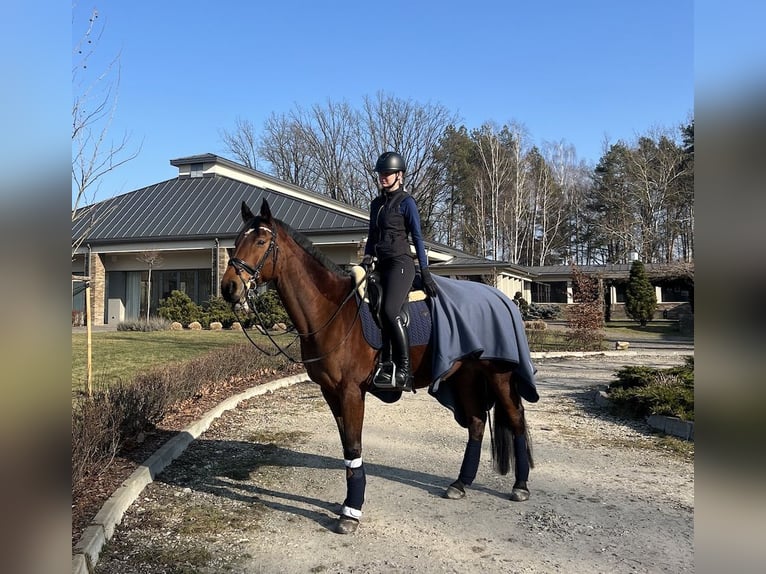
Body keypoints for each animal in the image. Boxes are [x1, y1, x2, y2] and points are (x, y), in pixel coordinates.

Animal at [221, 198, 534, 535]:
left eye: (261, 241)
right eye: (236, 242)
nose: (229, 287)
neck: (333, 310)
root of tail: (502, 298)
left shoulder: (350, 391)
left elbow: (354, 447)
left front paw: (351, 512)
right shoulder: (330, 392)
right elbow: (347, 447)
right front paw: (349, 505)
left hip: (499, 375)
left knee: (516, 420)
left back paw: (520, 486)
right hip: (464, 374)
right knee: (476, 423)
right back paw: (461, 483)